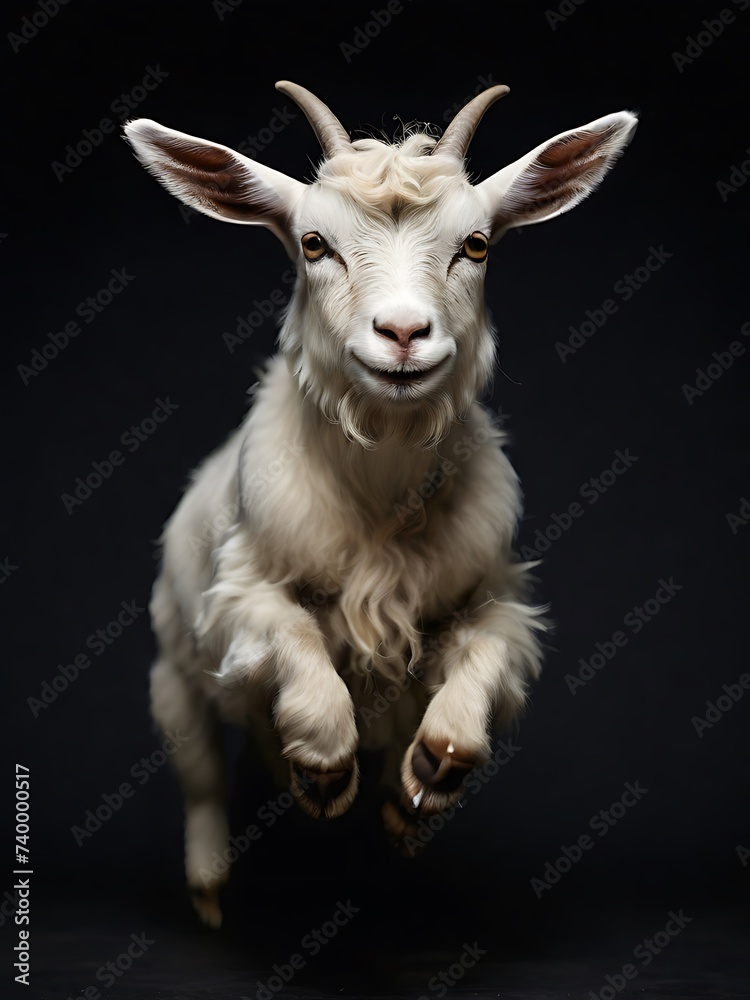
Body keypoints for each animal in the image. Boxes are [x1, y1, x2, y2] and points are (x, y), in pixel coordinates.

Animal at [124, 81, 636, 927]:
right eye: (313, 244)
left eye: (476, 245)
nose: (402, 332)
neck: (382, 499)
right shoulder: (237, 593)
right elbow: (294, 635)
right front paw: (325, 766)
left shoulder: (493, 595)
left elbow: (489, 654)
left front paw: (433, 768)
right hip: (172, 673)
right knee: (201, 777)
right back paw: (212, 888)